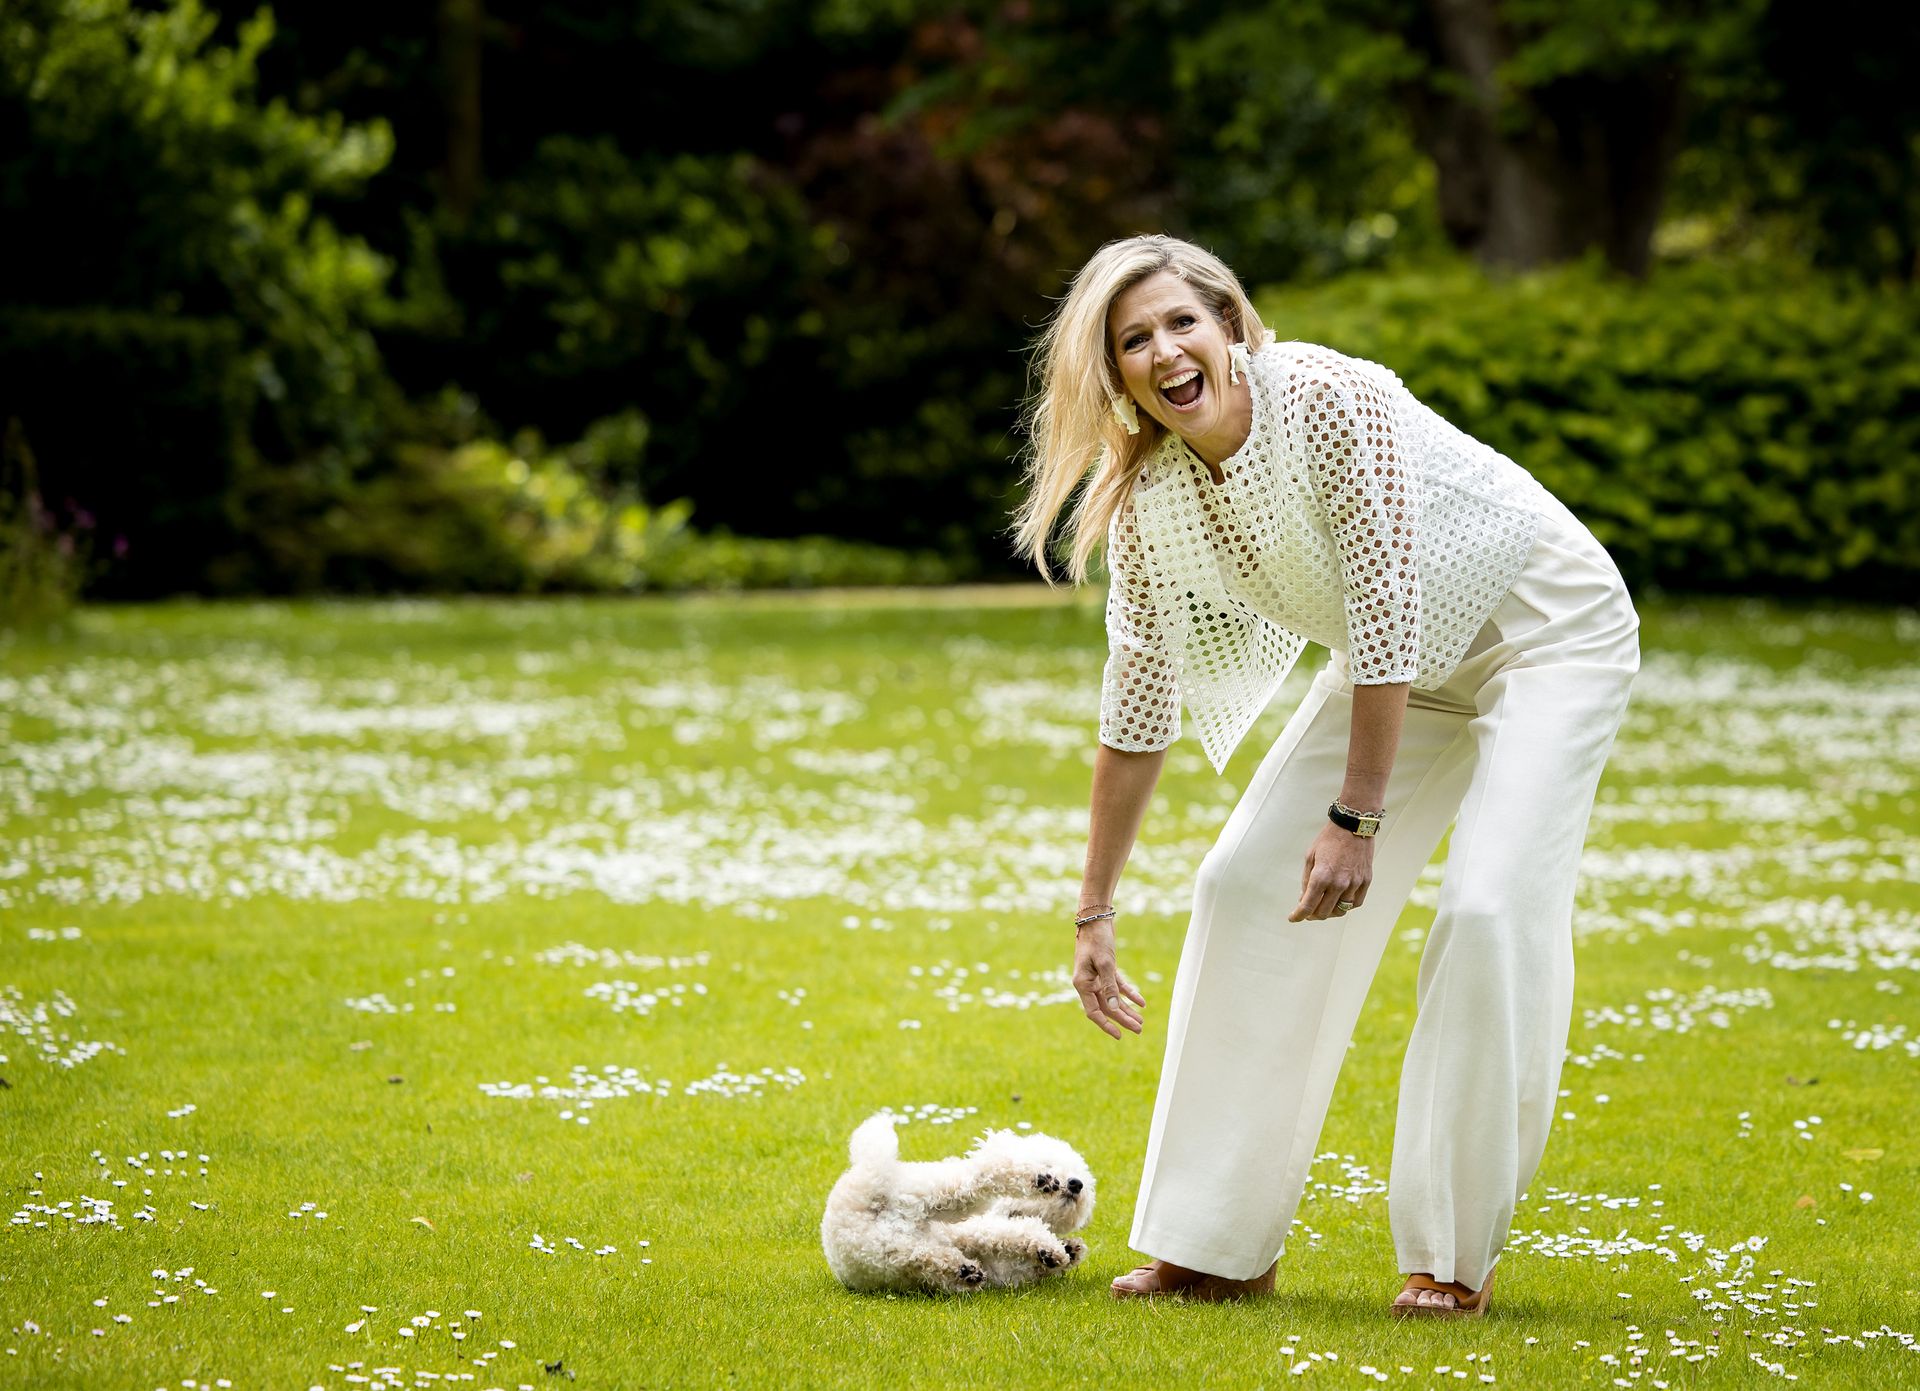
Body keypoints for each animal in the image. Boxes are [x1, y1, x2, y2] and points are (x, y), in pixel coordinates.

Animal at [821, 1106, 1098, 1291]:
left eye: (1082, 1174)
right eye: (1050, 1161)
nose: (1076, 1183)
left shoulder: (1003, 1270)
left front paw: (1067, 1250)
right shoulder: (978, 1228)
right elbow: (1014, 1233)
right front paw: (1052, 1248)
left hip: (892, 1255)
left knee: (925, 1258)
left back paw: (965, 1271)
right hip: (937, 1192)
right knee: (984, 1173)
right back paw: (1039, 1181)